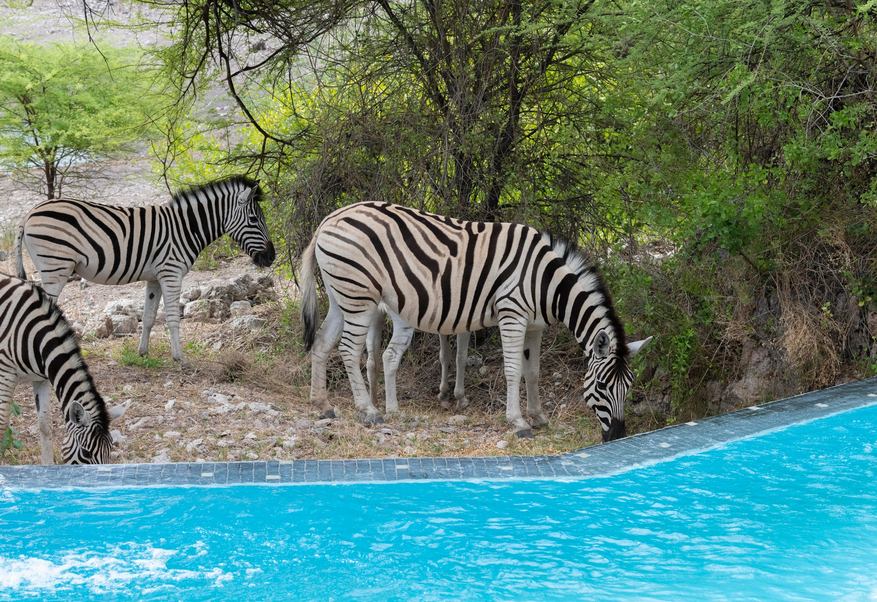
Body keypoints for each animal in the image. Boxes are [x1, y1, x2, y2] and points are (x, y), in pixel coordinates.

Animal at [0, 274, 128, 464]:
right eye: (86, 453)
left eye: (110, 450)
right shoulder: (5, 375)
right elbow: (2, 425)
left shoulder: (42, 378)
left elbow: (45, 425)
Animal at [12, 173, 274, 360]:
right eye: (254, 220)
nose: (271, 257)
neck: (186, 228)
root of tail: (28, 214)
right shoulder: (171, 273)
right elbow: (172, 318)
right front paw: (180, 359)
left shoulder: (155, 278)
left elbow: (148, 317)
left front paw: (143, 353)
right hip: (55, 269)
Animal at [302, 202, 652, 440]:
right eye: (603, 386)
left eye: (629, 386)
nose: (618, 436)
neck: (546, 283)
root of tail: (328, 219)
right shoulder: (513, 315)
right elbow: (513, 371)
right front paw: (518, 422)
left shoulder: (535, 326)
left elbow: (533, 372)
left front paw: (538, 417)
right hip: (358, 296)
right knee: (348, 349)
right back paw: (370, 411)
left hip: (341, 295)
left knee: (322, 342)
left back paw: (323, 404)